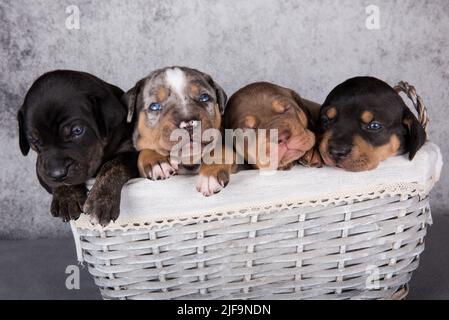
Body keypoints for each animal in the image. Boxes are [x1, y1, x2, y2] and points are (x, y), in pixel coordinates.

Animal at [17, 69, 137, 226]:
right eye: (33, 139)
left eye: (77, 130)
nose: (57, 173)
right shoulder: (41, 168)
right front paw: (68, 197)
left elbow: (114, 165)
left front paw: (101, 200)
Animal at [122, 65, 234, 195]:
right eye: (154, 106)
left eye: (204, 97)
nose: (188, 124)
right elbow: (147, 148)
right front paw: (156, 161)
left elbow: (221, 150)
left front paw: (210, 174)